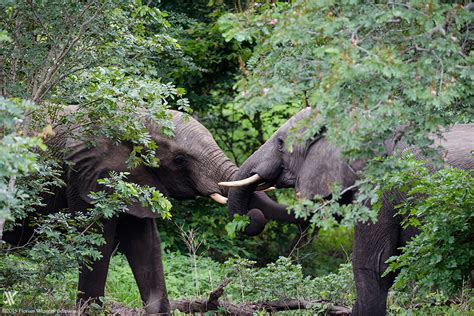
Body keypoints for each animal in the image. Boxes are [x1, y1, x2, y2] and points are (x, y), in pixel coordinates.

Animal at [1, 108, 304, 314]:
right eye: (179, 160)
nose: (252, 217)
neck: (127, 114)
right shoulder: (83, 177)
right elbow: (97, 241)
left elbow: (145, 242)